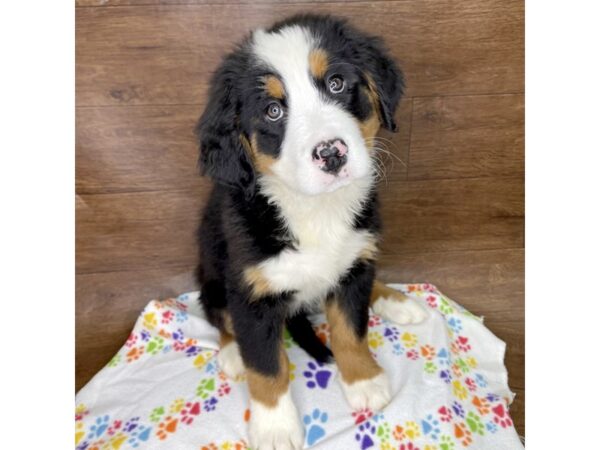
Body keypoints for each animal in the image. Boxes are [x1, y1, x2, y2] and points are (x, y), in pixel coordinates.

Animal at [196, 14, 426, 450]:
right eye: (272, 111)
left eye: (336, 83)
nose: (332, 154)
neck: (316, 211)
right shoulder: (251, 292)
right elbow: (266, 364)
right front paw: (274, 426)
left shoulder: (354, 264)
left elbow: (350, 328)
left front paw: (363, 380)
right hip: (211, 271)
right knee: (219, 317)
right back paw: (233, 355)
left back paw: (398, 301)